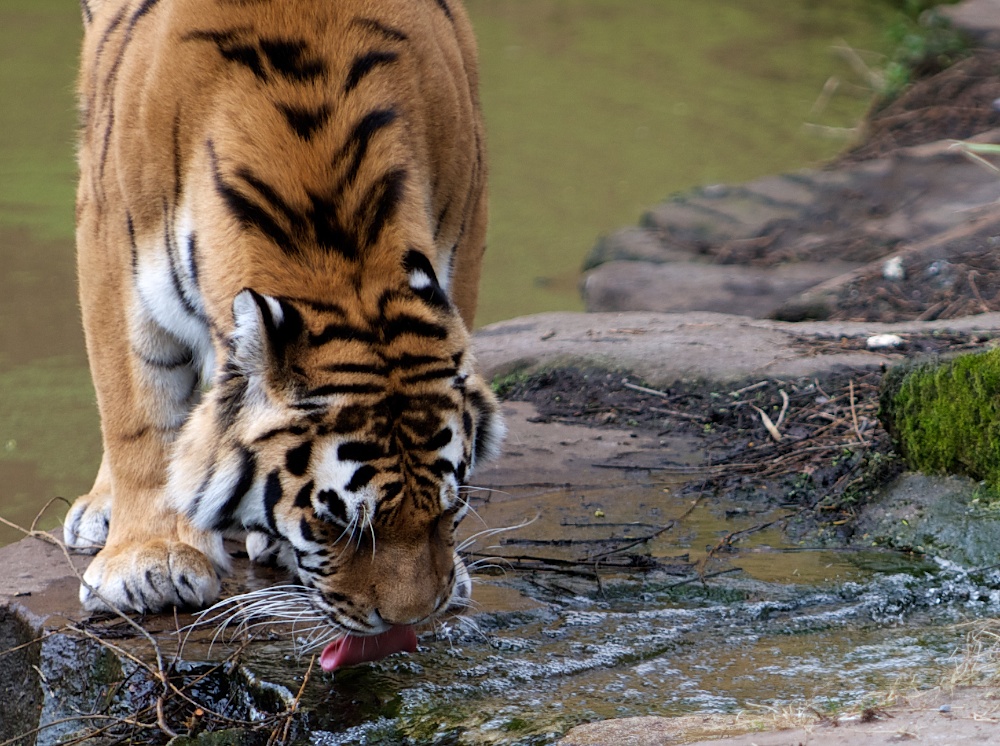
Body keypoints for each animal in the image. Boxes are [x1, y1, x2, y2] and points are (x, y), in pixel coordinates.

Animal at [64, 0, 500, 664]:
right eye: (336, 525)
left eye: (448, 509)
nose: (412, 619)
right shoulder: (113, 238)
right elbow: (139, 414)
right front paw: (150, 562)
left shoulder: (464, 224)